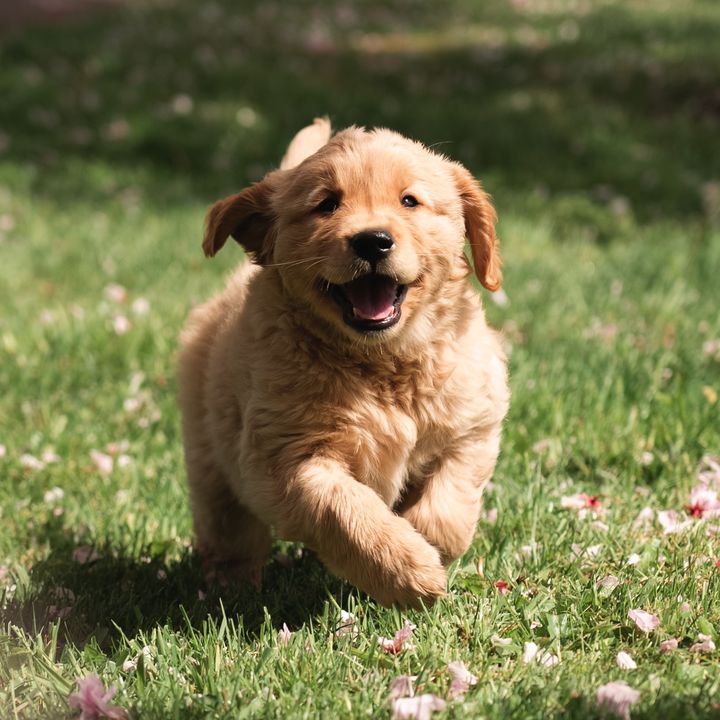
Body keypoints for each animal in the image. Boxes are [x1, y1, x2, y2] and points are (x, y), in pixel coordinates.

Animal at [179, 119, 506, 608]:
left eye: (409, 201)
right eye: (326, 204)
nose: (373, 240)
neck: (383, 363)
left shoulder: (473, 423)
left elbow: (450, 503)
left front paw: (428, 543)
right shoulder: (285, 459)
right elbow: (344, 509)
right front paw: (409, 569)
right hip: (210, 456)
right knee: (229, 528)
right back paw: (230, 588)